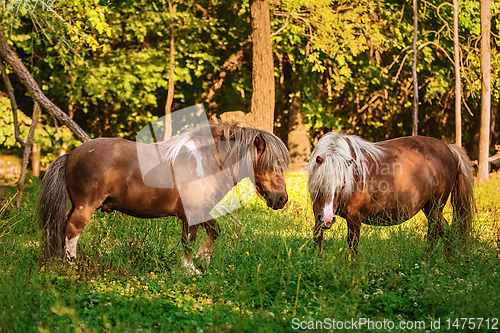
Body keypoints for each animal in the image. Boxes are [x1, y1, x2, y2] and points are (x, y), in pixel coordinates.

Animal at [39, 122, 290, 272]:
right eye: (269, 165)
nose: (281, 199)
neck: (205, 162)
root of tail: (71, 154)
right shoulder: (190, 215)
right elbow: (188, 242)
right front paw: (190, 269)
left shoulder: (201, 212)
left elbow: (215, 231)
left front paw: (204, 260)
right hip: (85, 207)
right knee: (72, 231)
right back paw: (71, 266)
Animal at [306, 132, 474, 254]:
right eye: (320, 184)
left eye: (342, 186)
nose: (327, 220)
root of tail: (448, 148)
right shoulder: (317, 214)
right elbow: (317, 239)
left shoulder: (354, 218)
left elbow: (352, 247)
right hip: (429, 208)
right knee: (443, 231)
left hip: (435, 208)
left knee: (436, 232)